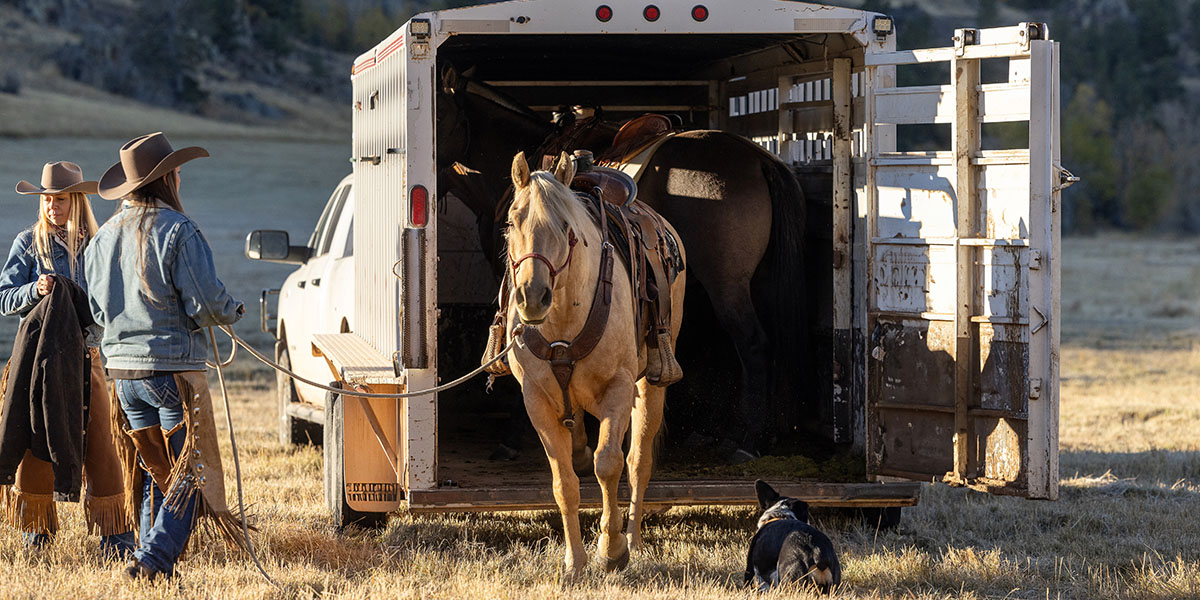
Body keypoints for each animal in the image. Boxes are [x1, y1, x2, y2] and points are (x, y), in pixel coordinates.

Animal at [438, 66, 807, 458]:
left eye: (439, 112)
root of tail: (760, 160)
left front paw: (516, 435)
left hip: (727, 285)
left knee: (753, 344)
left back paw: (747, 439)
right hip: (757, 283)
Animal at [504, 151, 686, 575]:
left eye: (565, 227)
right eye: (512, 221)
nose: (532, 296)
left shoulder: (617, 389)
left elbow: (609, 465)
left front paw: (612, 549)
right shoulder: (536, 401)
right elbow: (564, 482)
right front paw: (575, 560)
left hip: (649, 385)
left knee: (637, 460)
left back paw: (633, 537)